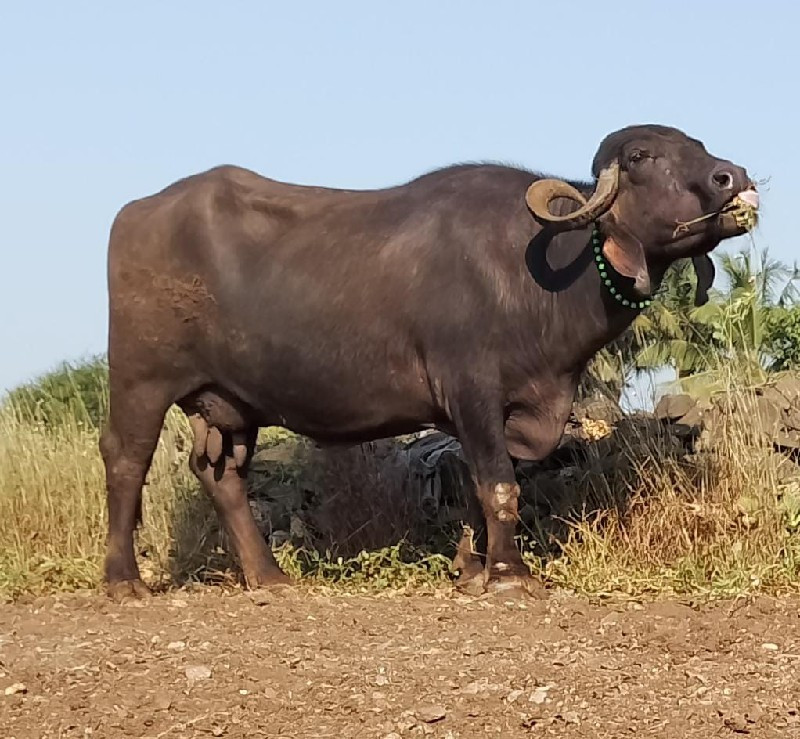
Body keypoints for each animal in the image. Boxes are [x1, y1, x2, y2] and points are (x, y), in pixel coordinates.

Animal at [100, 125, 756, 600]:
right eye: (643, 155)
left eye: (699, 147)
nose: (735, 177)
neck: (530, 273)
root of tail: (133, 214)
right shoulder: (471, 389)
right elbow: (499, 485)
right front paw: (511, 575)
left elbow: (474, 487)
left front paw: (472, 568)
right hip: (141, 379)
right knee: (126, 460)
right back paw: (124, 580)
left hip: (232, 400)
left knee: (222, 474)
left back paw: (269, 576)